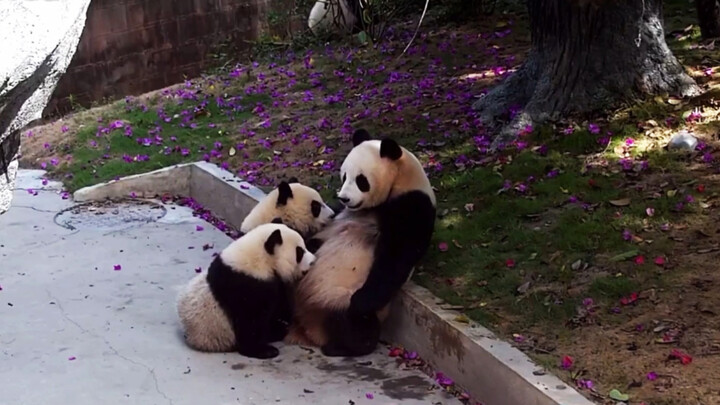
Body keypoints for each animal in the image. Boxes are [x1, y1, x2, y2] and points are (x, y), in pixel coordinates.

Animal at [286, 128, 434, 356]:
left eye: (361, 180)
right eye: (344, 175)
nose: (344, 198)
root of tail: (307, 329)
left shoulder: (412, 206)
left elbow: (395, 258)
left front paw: (360, 303)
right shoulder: (339, 213)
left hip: (339, 299)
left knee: (357, 328)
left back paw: (338, 346)